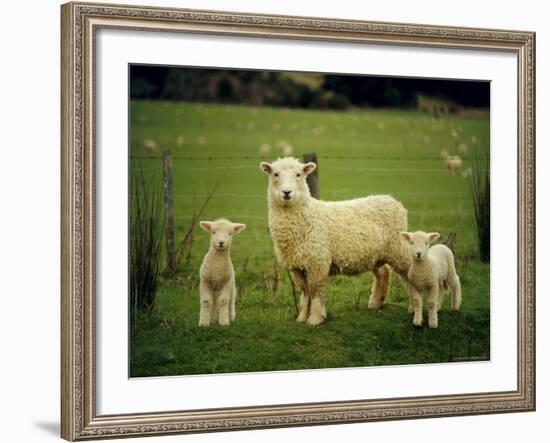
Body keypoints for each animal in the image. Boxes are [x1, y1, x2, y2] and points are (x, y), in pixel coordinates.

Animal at [260, 156, 412, 326]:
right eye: (275, 174)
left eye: (299, 174)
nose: (287, 192)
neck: (306, 215)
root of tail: (392, 200)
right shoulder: (297, 266)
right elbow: (305, 292)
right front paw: (302, 317)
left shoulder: (317, 262)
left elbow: (315, 291)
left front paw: (315, 319)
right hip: (376, 254)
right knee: (384, 272)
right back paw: (376, 303)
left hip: (398, 248)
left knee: (411, 274)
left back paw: (414, 308)